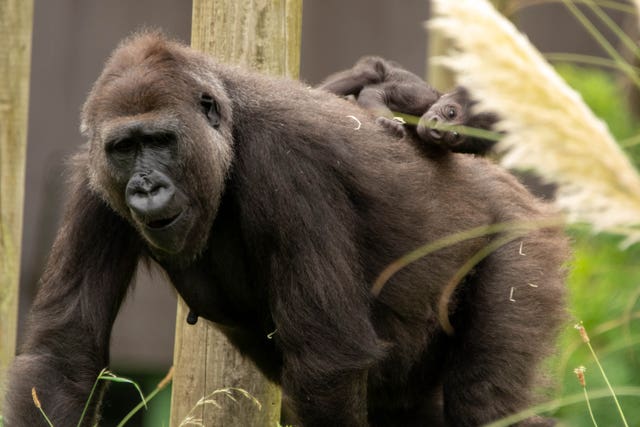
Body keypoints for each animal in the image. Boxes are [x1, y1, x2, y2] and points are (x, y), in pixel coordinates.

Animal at [320, 57, 500, 155]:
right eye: (451, 113)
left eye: (455, 135)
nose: (437, 130)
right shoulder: (418, 96)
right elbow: (376, 92)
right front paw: (390, 123)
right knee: (369, 73)